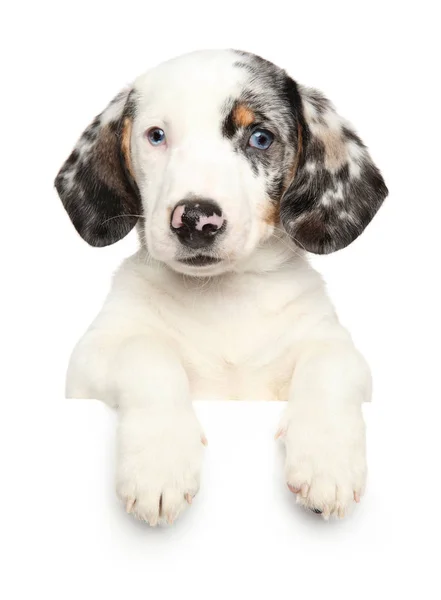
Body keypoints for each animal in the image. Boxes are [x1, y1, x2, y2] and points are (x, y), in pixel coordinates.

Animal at [54, 49, 384, 524]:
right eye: (156, 136)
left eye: (260, 138)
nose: (195, 219)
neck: (223, 299)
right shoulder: (88, 361)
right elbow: (145, 354)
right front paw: (160, 462)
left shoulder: (340, 348)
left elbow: (329, 365)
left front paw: (328, 460)